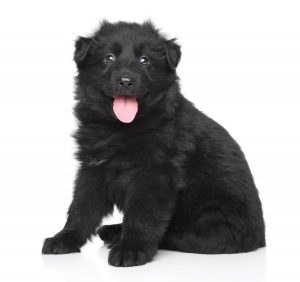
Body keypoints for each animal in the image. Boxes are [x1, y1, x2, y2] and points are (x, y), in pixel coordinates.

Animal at [42, 20, 264, 266]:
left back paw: (119, 236)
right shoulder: (93, 168)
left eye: (144, 60)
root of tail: (261, 237)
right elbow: (81, 208)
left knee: (178, 235)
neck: (120, 128)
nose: (126, 81)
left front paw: (131, 248)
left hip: (213, 220)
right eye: (109, 58)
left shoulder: (155, 174)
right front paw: (65, 238)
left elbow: (142, 215)